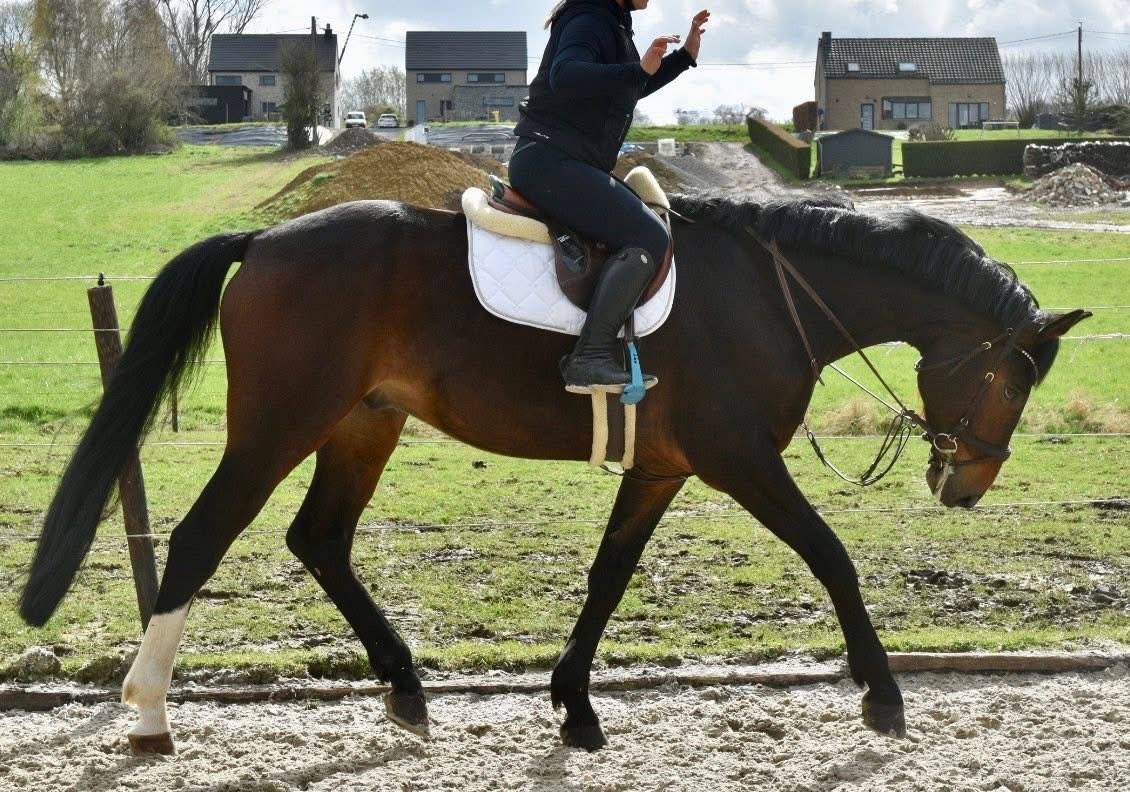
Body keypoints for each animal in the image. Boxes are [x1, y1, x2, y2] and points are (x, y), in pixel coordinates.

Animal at [19, 191, 1089, 754]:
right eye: (1013, 379)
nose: (969, 484)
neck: (770, 295)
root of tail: (268, 239)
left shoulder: (661, 469)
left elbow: (609, 576)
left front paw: (574, 703)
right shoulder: (742, 460)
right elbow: (832, 558)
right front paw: (882, 694)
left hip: (363, 426)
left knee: (319, 539)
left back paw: (405, 688)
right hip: (280, 426)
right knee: (204, 537)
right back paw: (150, 709)